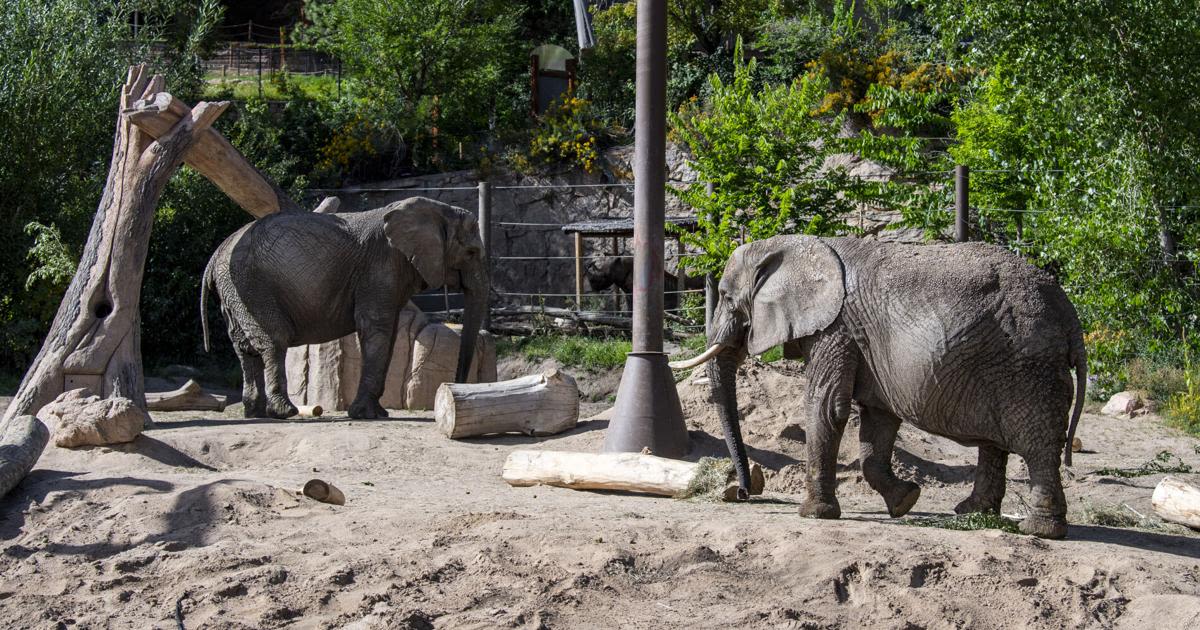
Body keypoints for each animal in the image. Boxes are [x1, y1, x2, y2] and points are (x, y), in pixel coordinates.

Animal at [201, 199, 487, 420]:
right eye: (471, 252)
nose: (453, 387)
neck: (437, 209)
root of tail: (215, 255)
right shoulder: (381, 266)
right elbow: (376, 328)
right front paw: (366, 415)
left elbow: (390, 331)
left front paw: (377, 413)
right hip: (252, 285)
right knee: (274, 340)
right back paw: (284, 412)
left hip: (234, 291)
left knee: (244, 346)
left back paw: (255, 412)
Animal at [676, 232, 1089, 537]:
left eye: (726, 297)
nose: (743, 492)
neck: (794, 245)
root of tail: (1070, 315)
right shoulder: (863, 343)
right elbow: (877, 419)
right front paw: (905, 502)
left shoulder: (836, 329)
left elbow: (827, 406)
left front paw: (812, 514)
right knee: (996, 443)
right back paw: (971, 513)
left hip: (1028, 364)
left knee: (1036, 445)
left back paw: (1039, 530)